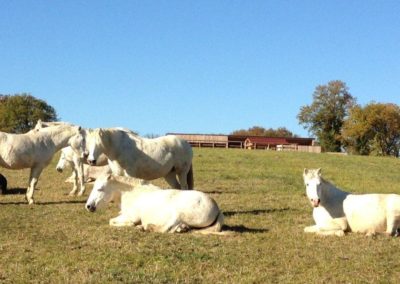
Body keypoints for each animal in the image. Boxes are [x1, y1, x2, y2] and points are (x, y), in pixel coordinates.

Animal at [85, 174, 225, 234]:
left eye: (100, 189)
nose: (88, 206)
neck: (132, 193)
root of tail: (216, 208)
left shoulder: (130, 217)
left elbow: (112, 221)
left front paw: (133, 225)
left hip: (177, 214)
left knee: (167, 228)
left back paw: (145, 227)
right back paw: (182, 228)